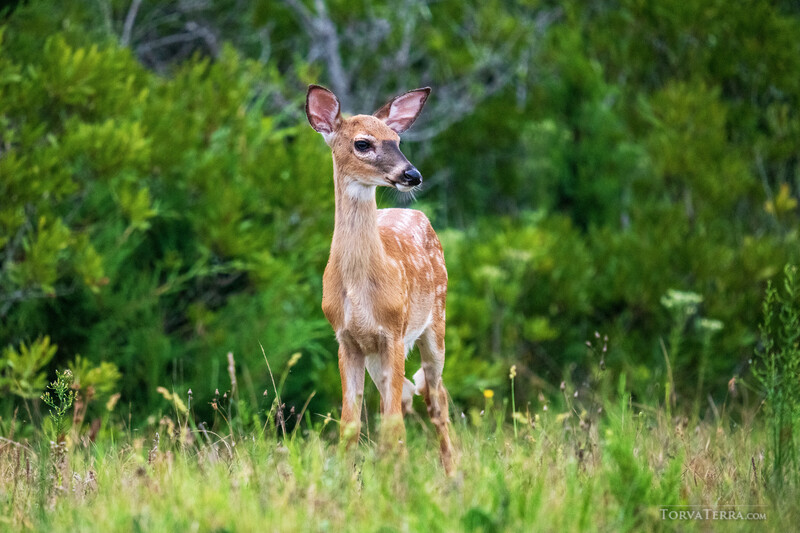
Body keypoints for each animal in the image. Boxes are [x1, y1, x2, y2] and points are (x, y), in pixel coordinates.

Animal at [305, 84, 453, 473]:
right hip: (377, 355)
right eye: (362, 143)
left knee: (436, 397)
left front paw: (396, 481)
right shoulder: (347, 339)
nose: (412, 175)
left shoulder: (394, 333)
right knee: (408, 397)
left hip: (436, 323)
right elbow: (350, 424)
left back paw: (453, 475)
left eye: (397, 140)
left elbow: (392, 424)